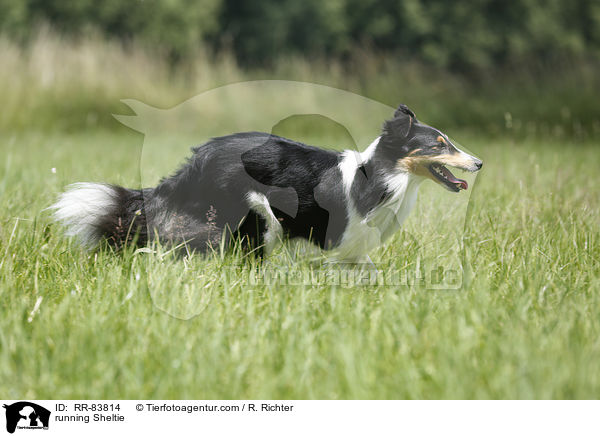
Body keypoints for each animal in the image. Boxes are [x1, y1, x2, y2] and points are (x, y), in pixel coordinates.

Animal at [51, 104, 482, 262]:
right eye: (439, 144)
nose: (479, 162)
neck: (382, 176)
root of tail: (194, 162)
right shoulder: (331, 240)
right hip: (257, 215)